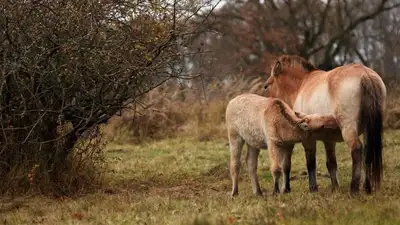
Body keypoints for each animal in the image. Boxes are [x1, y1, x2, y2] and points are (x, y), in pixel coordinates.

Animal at [264, 55, 386, 194]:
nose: (268, 106)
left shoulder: (308, 139)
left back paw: (354, 189)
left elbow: (311, 163)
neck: (302, 84)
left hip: (348, 129)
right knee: (367, 151)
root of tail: (365, 74)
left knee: (356, 149)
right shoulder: (329, 140)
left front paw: (313, 188)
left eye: (266, 86)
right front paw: (335, 187)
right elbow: (331, 163)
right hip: (367, 129)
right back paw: (367, 187)